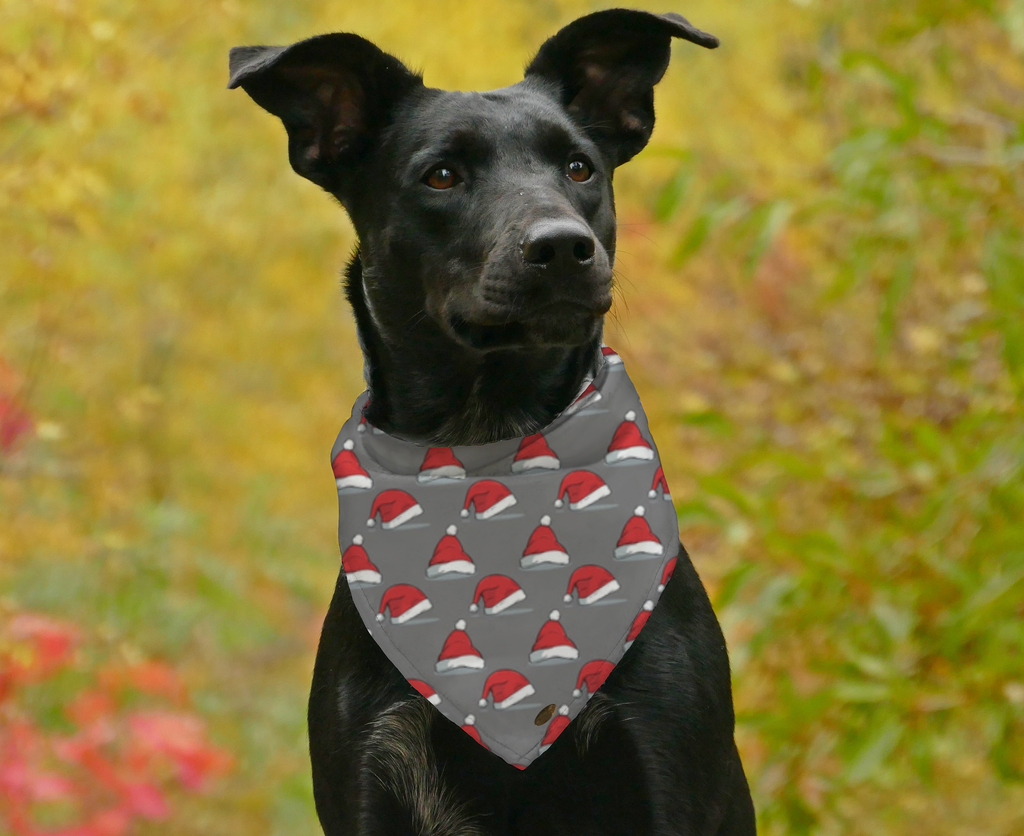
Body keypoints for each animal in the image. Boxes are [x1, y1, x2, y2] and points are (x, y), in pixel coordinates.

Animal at [232, 8, 757, 836]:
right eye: (441, 175)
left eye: (579, 168)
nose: (562, 247)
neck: (490, 443)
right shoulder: (373, 771)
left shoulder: (666, 769)